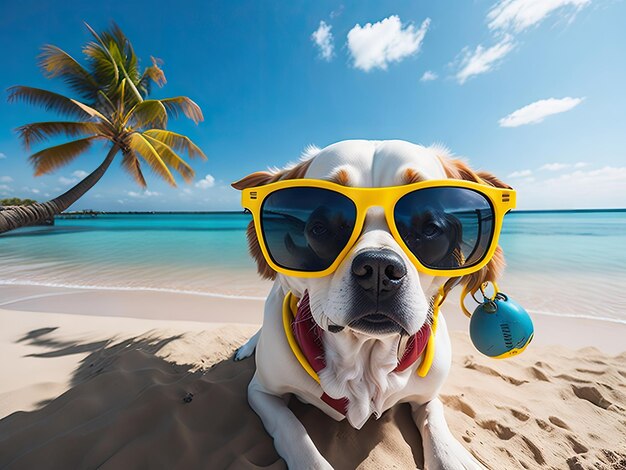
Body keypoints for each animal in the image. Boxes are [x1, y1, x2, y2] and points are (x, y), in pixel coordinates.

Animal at [232, 140, 504, 470]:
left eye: (429, 228)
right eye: (322, 227)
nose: (378, 269)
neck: (364, 355)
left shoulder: (427, 397)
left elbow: (436, 422)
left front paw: (453, 456)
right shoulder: (262, 393)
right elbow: (293, 431)